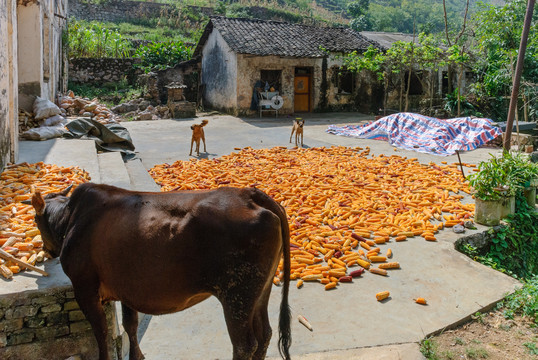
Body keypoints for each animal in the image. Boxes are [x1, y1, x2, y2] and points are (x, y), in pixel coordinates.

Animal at [29, 184, 288, 358]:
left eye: (35, 219)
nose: (46, 250)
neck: (71, 219)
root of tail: (249, 194)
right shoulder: (126, 289)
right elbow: (130, 325)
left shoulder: (85, 288)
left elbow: (101, 333)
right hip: (260, 291)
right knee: (264, 334)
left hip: (236, 296)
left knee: (244, 345)